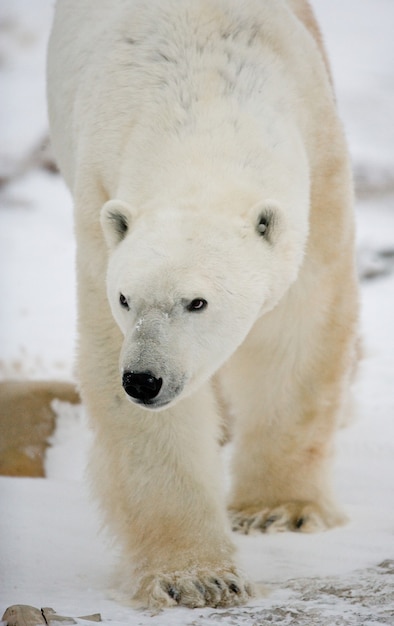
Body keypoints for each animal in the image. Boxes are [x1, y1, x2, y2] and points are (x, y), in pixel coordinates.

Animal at [47, 0, 358, 608]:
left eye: (198, 302)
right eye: (125, 298)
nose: (143, 380)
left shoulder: (320, 155)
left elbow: (298, 330)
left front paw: (277, 510)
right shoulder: (98, 205)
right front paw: (196, 576)